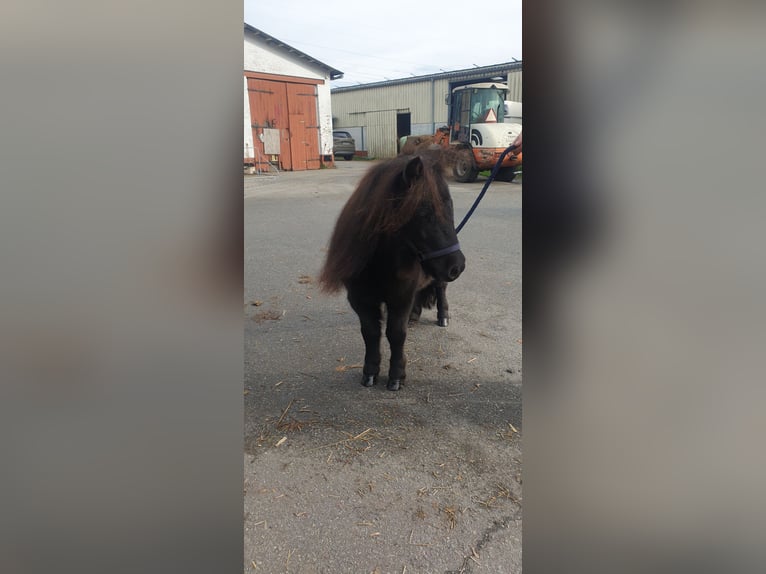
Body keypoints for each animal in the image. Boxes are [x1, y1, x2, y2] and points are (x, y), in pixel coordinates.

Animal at [319, 152, 466, 391]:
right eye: (424, 212)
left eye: (450, 208)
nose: (457, 266)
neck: (378, 264)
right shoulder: (360, 300)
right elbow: (370, 333)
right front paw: (370, 372)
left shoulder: (400, 298)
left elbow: (396, 333)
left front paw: (397, 375)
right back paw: (415, 315)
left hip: (437, 277)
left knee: (440, 290)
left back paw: (443, 316)